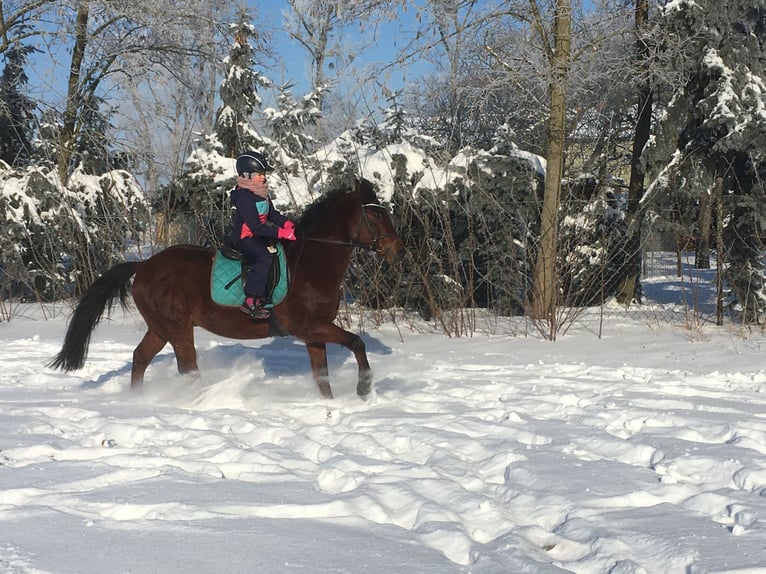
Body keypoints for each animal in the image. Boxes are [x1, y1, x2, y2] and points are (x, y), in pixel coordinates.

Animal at [49, 179, 408, 400]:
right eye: (375, 215)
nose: (399, 251)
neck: (312, 262)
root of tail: (144, 265)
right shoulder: (310, 326)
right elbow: (356, 342)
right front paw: (363, 388)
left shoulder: (314, 334)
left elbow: (322, 376)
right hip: (177, 328)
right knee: (187, 367)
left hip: (161, 328)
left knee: (141, 358)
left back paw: (139, 398)